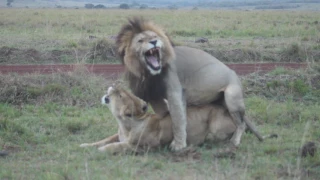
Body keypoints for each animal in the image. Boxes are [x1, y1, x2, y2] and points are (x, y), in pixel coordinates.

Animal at [79, 85, 236, 154]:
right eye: (124, 92)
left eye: (120, 95)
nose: (113, 86)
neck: (125, 125)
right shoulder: (117, 135)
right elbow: (104, 140)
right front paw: (85, 145)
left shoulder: (145, 147)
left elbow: (119, 145)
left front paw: (103, 149)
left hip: (215, 128)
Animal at [116, 17, 264, 150]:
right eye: (140, 40)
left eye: (154, 36)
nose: (153, 41)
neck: (147, 73)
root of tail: (234, 74)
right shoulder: (154, 97)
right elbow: (165, 116)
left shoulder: (175, 92)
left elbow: (178, 119)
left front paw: (179, 145)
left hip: (232, 98)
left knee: (241, 124)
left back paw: (234, 142)